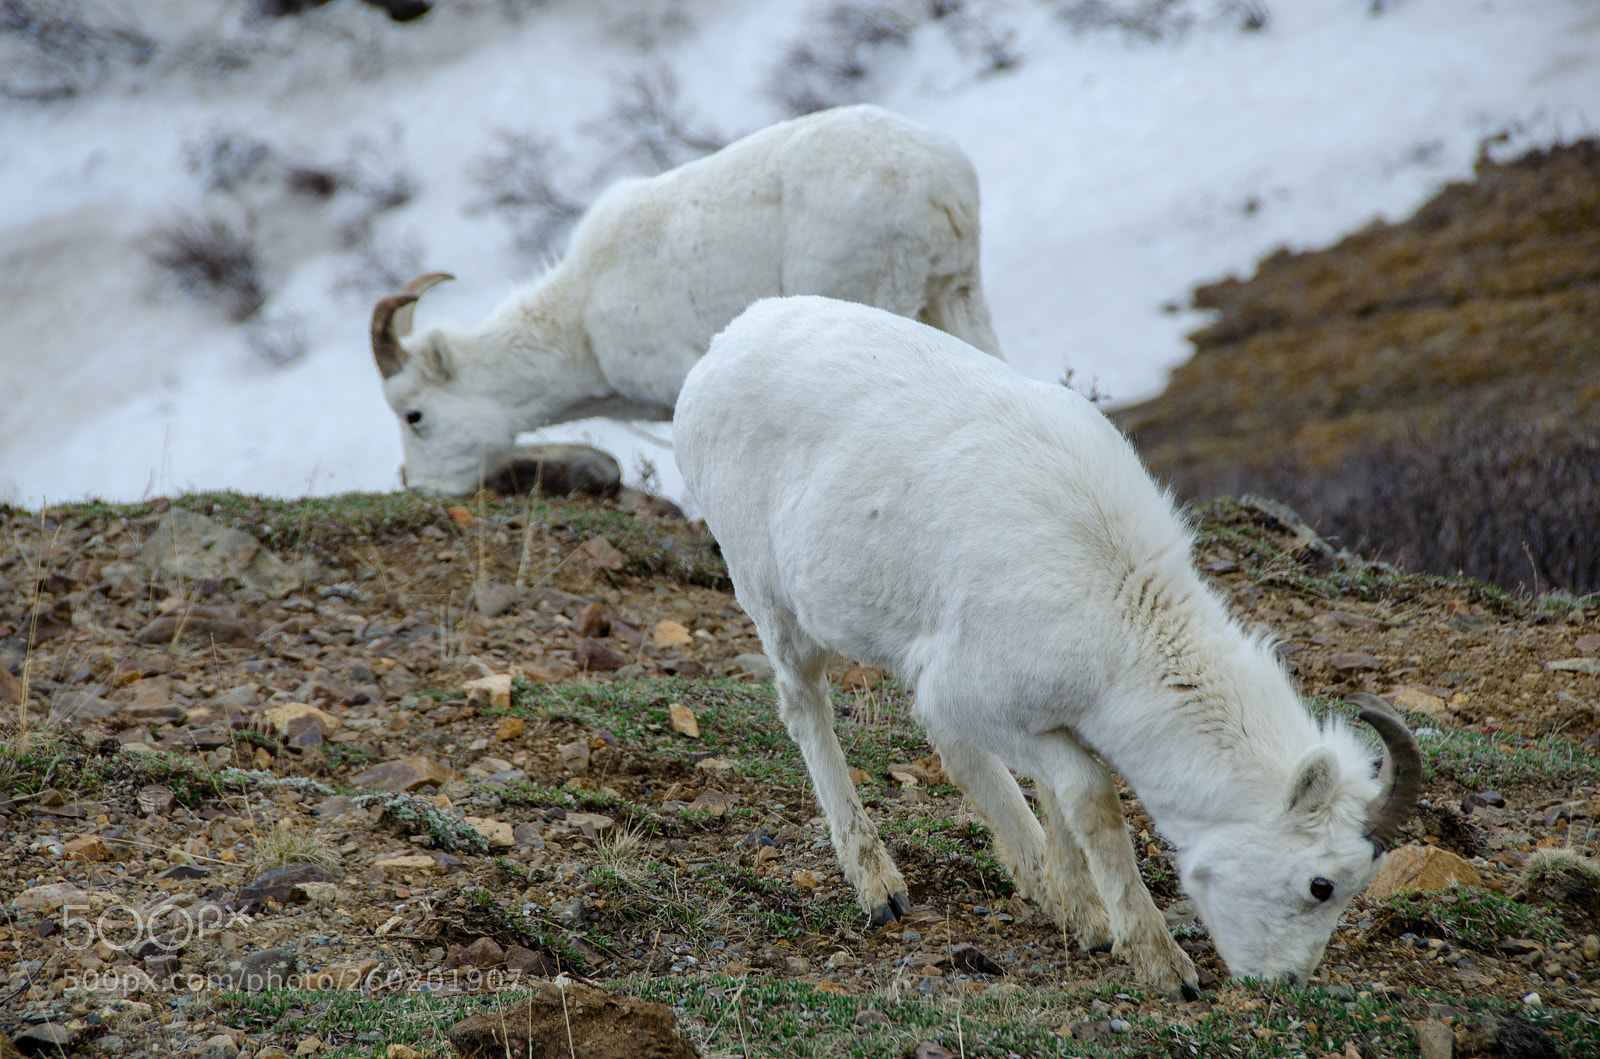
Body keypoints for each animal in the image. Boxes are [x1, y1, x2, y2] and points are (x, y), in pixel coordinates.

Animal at [674, 296, 1421, 997]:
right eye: (1322, 884)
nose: (1283, 982)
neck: (1118, 609)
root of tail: (721, 348)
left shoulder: (1037, 715)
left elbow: (1055, 792)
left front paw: (1084, 917)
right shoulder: (972, 698)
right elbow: (1089, 793)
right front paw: (1161, 963)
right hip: (773, 602)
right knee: (807, 709)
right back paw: (880, 887)